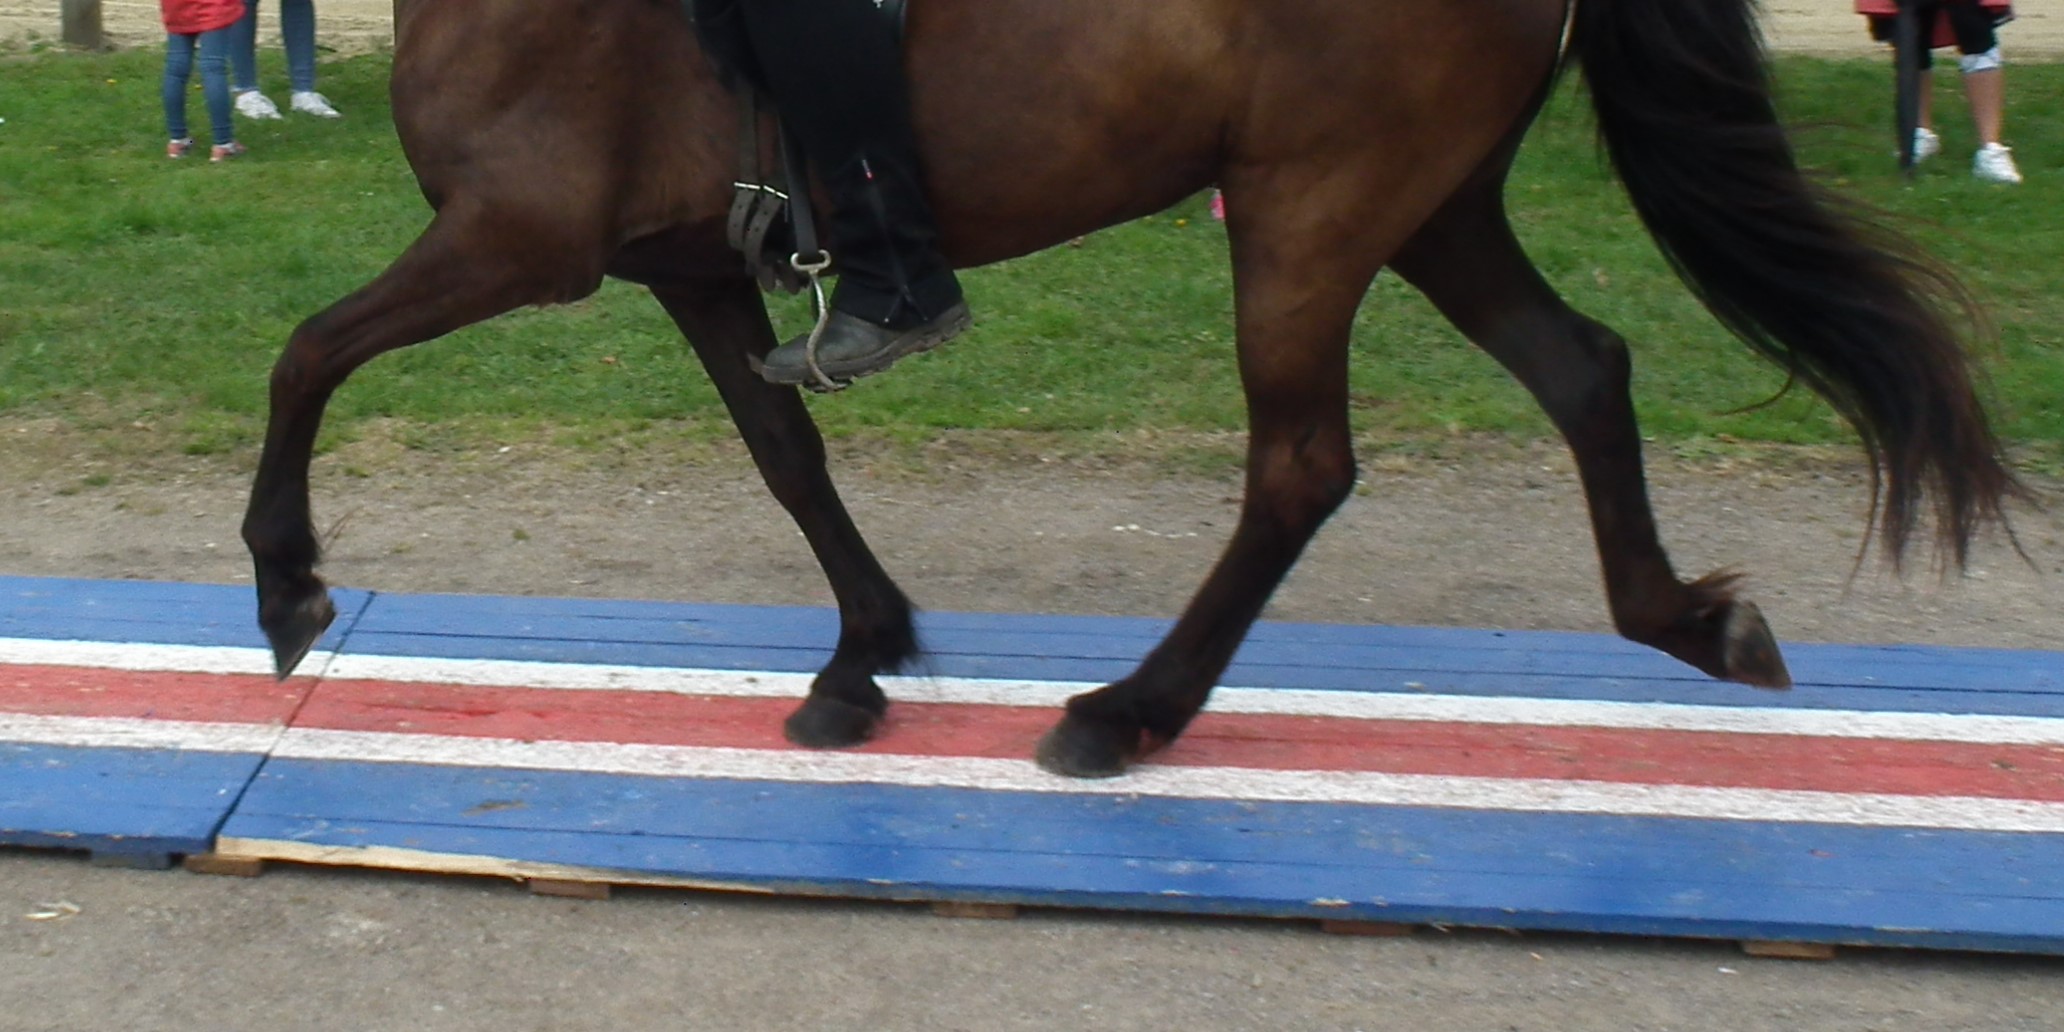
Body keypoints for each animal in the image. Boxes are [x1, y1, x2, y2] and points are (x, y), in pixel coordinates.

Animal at [241, 0, 2014, 776]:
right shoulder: (686, 268)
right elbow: (788, 456)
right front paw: (863, 655)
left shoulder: (514, 237)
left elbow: (305, 349)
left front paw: (287, 591)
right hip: (1429, 205)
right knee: (1584, 369)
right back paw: (1691, 620)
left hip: (1309, 211)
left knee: (1300, 466)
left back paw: (1130, 711)